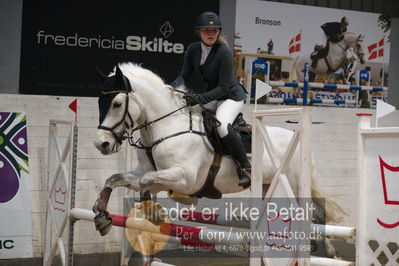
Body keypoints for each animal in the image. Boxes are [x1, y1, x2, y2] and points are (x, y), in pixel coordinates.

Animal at [92, 62, 346, 237]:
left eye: (116, 104)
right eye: (99, 102)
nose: (101, 144)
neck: (164, 127)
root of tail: (297, 138)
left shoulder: (185, 179)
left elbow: (147, 183)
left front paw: (153, 213)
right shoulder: (142, 173)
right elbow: (114, 179)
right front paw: (102, 216)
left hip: (294, 185)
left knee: (314, 213)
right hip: (269, 186)